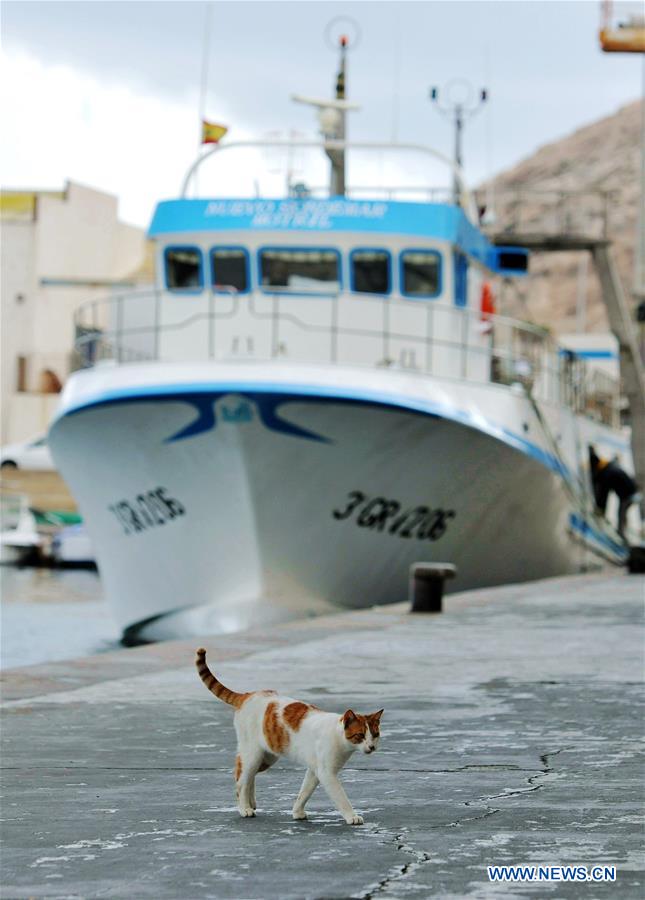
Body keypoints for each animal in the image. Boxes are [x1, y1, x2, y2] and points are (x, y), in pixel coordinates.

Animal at [194, 648, 380, 824]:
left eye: (375, 735)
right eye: (360, 735)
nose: (372, 747)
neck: (338, 737)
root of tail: (248, 695)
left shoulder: (314, 770)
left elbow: (304, 792)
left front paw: (297, 812)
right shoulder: (327, 773)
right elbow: (341, 798)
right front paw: (352, 816)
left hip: (267, 756)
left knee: (249, 775)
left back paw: (251, 802)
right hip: (253, 754)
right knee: (240, 777)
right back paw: (244, 808)